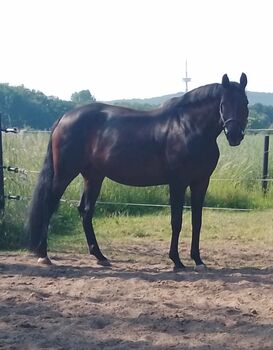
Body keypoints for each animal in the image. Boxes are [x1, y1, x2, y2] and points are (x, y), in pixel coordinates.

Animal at [26, 73, 248, 270]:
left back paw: (100, 256)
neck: (187, 127)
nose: (234, 135)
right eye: (223, 104)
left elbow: (197, 221)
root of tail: (64, 117)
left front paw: (198, 260)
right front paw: (176, 260)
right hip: (64, 174)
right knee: (49, 205)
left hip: (93, 177)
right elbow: (176, 221)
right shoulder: (177, 183)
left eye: (245, 103)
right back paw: (43, 255)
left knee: (85, 211)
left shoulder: (201, 182)